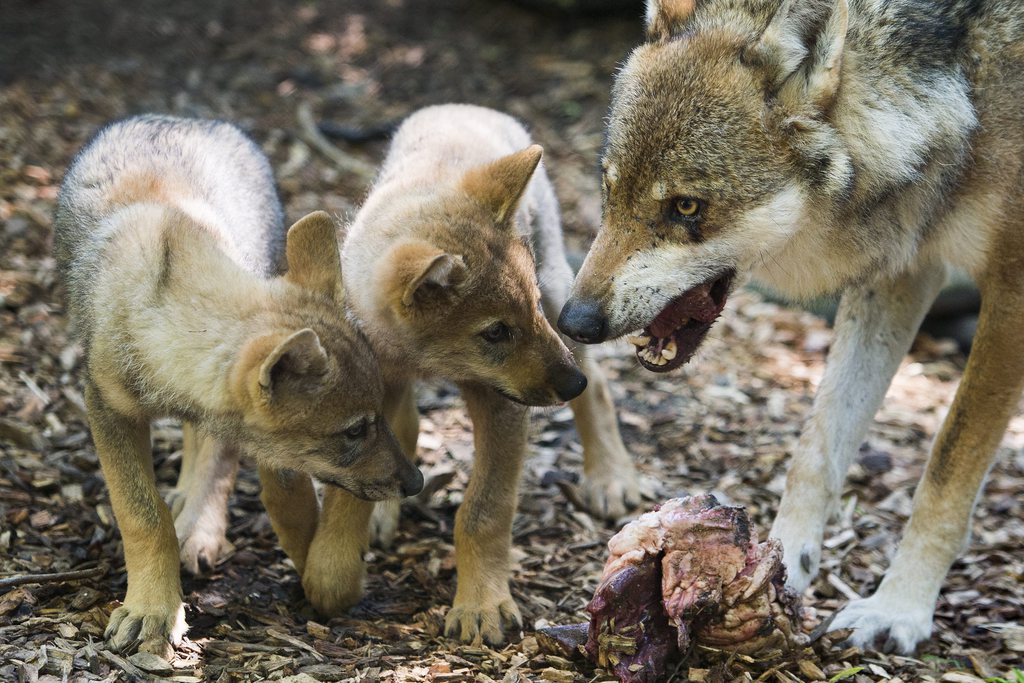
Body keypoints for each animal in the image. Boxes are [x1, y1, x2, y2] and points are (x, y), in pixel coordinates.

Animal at [561, 0, 1024, 655]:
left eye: (685, 206)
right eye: (609, 189)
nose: (572, 320)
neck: (964, 84)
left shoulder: (1011, 291)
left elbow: (946, 469)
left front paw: (899, 609)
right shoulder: (904, 268)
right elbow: (818, 446)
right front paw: (783, 562)